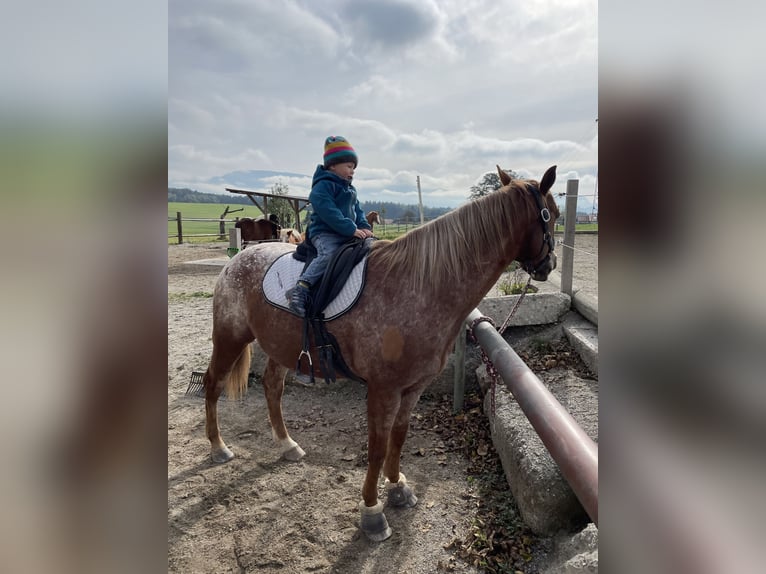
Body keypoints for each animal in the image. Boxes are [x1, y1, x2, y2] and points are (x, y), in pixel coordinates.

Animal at [202, 164, 564, 544]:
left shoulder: (413, 388)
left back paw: (287, 445)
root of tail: (237, 260)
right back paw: (217, 447)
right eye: (552, 214)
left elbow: (399, 438)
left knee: (272, 387)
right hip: (229, 339)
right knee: (213, 385)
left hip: (281, 347)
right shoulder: (383, 390)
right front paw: (372, 510)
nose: (549, 264)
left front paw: (398, 487)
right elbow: (376, 447)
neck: (421, 286)